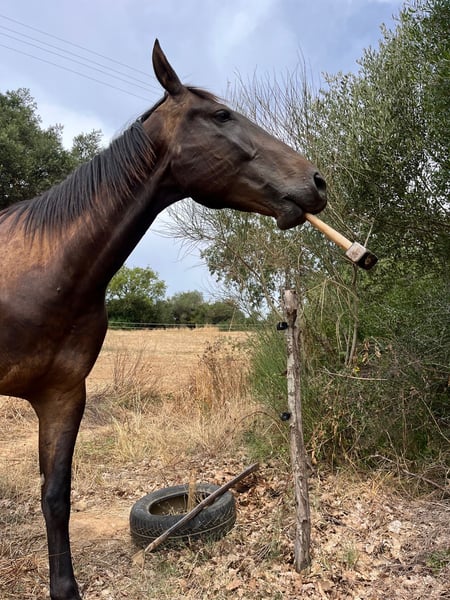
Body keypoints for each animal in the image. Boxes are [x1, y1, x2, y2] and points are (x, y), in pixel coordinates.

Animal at [0, 40, 326, 600]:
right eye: (221, 115)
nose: (317, 182)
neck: (46, 269)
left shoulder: (63, 395)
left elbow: (56, 496)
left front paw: (66, 588)